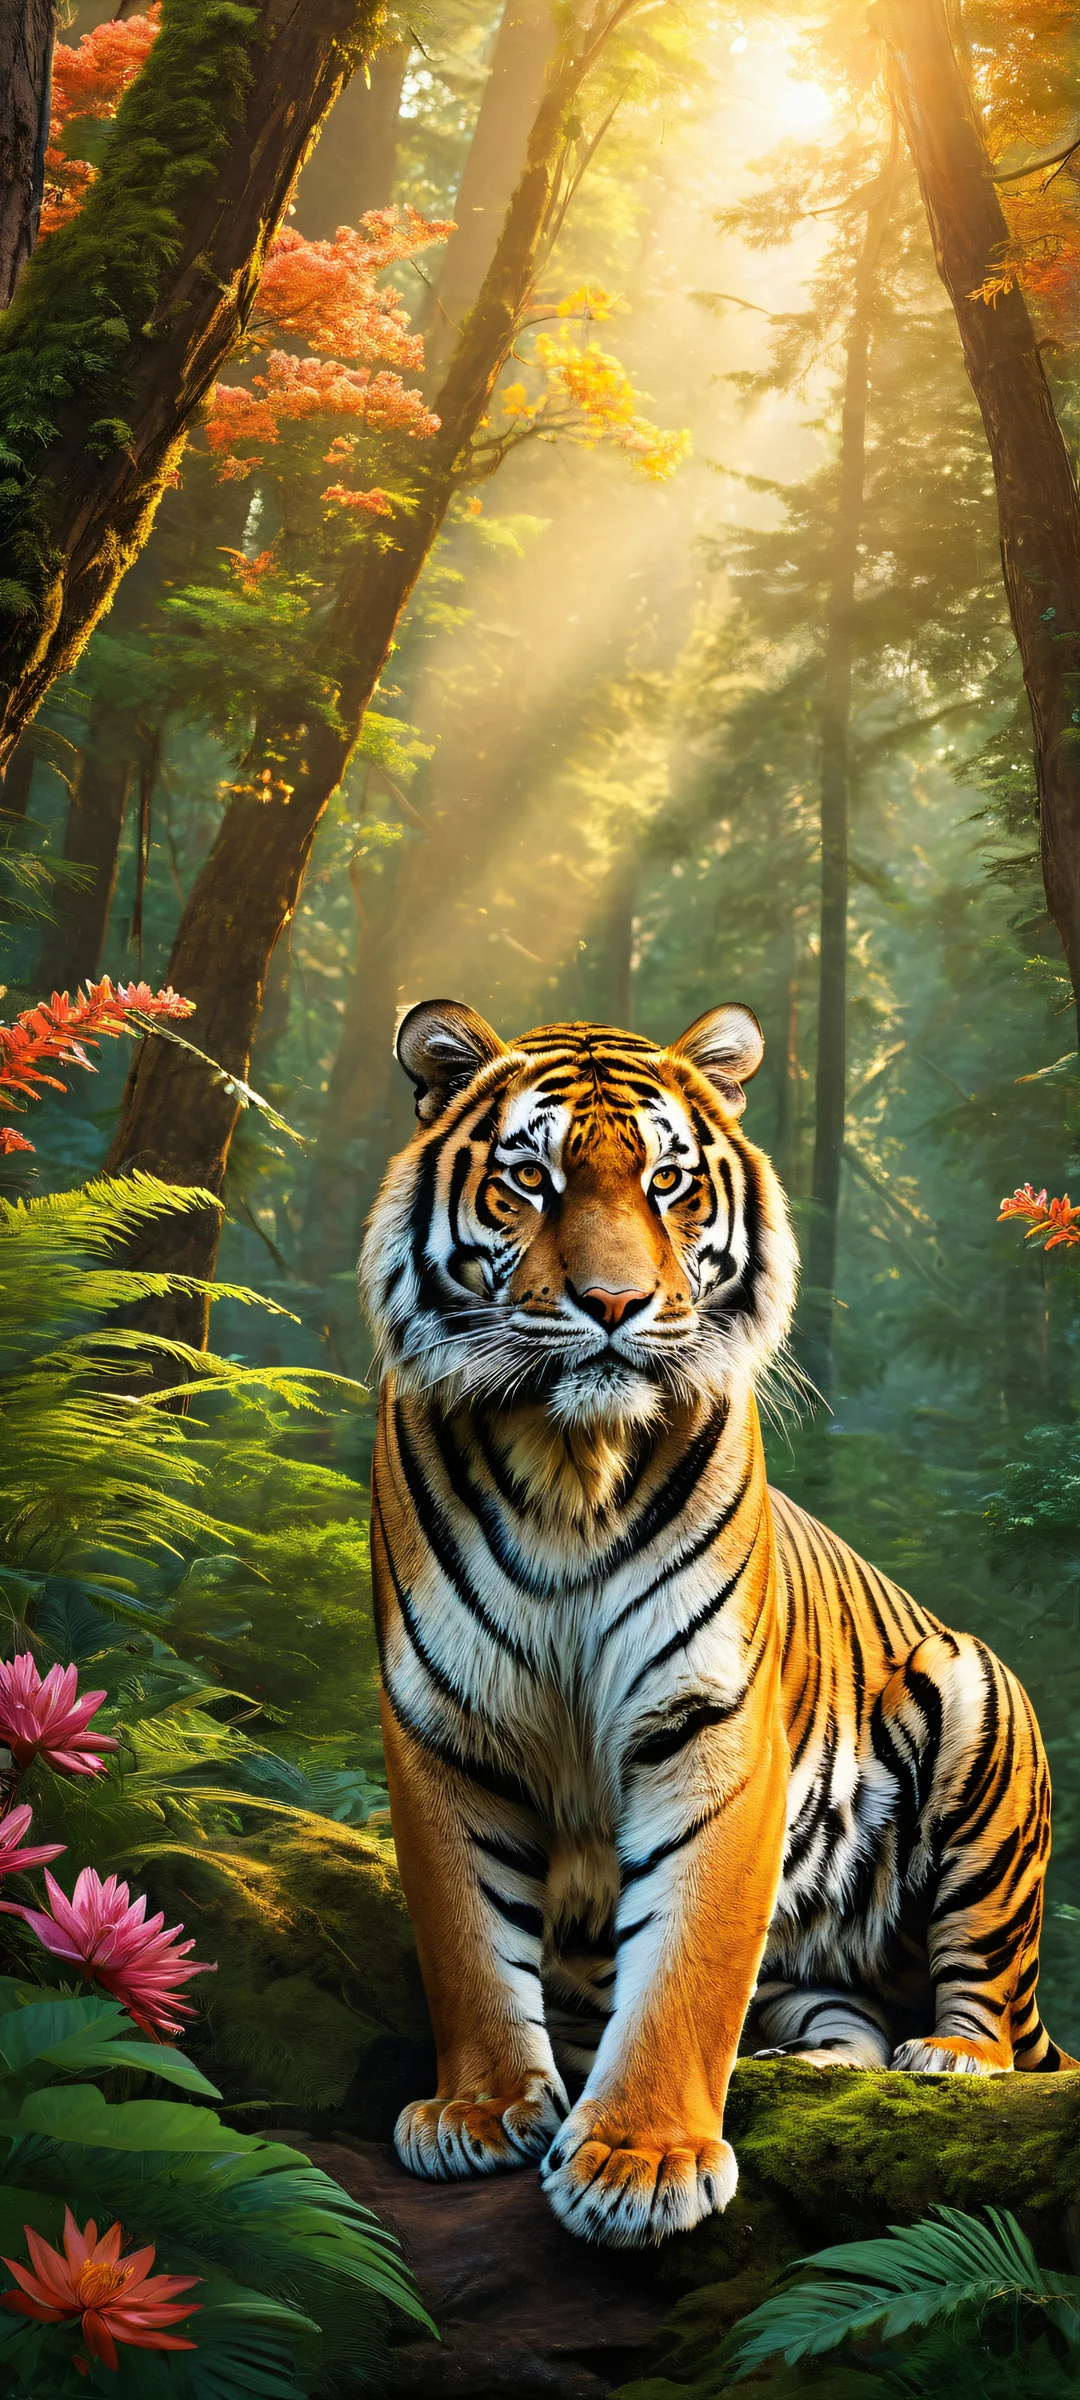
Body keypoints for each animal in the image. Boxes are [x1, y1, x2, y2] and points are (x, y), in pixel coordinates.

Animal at [359, 997, 1075, 2251]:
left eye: (669, 1183)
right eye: (530, 1179)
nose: (612, 1306)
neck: (569, 1463)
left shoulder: (711, 1721)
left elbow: (686, 1961)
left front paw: (642, 2163)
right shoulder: (447, 1723)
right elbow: (466, 1937)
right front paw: (479, 2111)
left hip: (981, 1703)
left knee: (986, 1989)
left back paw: (949, 2057)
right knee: (840, 2013)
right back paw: (813, 2067)